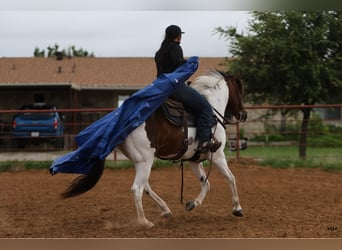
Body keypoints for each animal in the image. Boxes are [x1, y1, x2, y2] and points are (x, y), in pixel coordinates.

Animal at [60, 69, 246, 228]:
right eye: (240, 91)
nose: (243, 114)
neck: (213, 112)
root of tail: (124, 123)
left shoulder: (194, 160)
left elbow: (206, 183)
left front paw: (192, 203)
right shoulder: (218, 155)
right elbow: (231, 178)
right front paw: (237, 209)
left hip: (140, 162)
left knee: (146, 187)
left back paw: (165, 210)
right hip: (145, 161)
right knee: (137, 188)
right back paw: (145, 222)